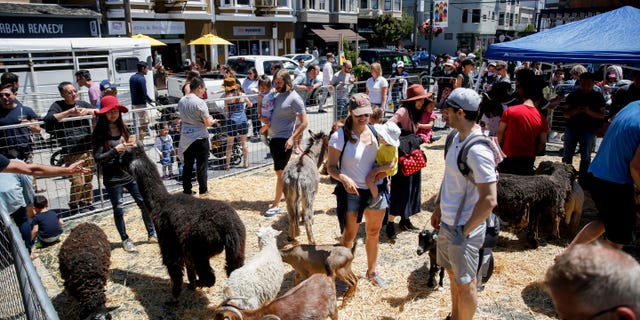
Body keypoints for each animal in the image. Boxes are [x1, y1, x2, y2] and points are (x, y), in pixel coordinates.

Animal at [120, 142, 245, 298]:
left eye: (124, 157)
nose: (116, 163)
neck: (160, 203)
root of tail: (229, 227)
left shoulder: (169, 244)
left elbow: (175, 271)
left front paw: (175, 295)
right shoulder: (182, 247)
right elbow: (188, 268)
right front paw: (191, 285)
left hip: (199, 248)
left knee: (209, 278)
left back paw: (197, 284)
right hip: (235, 248)